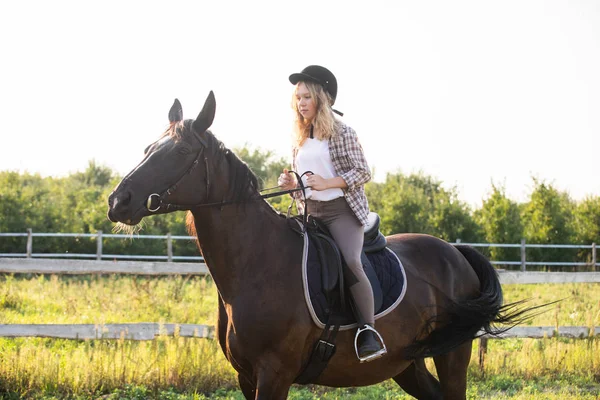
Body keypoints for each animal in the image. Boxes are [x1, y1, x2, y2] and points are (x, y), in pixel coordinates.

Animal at [106, 92, 528, 398]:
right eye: (147, 149)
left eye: (179, 152)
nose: (117, 201)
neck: (257, 264)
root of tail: (455, 253)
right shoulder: (246, 377)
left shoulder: (273, 374)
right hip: (409, 363)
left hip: (452, 355)